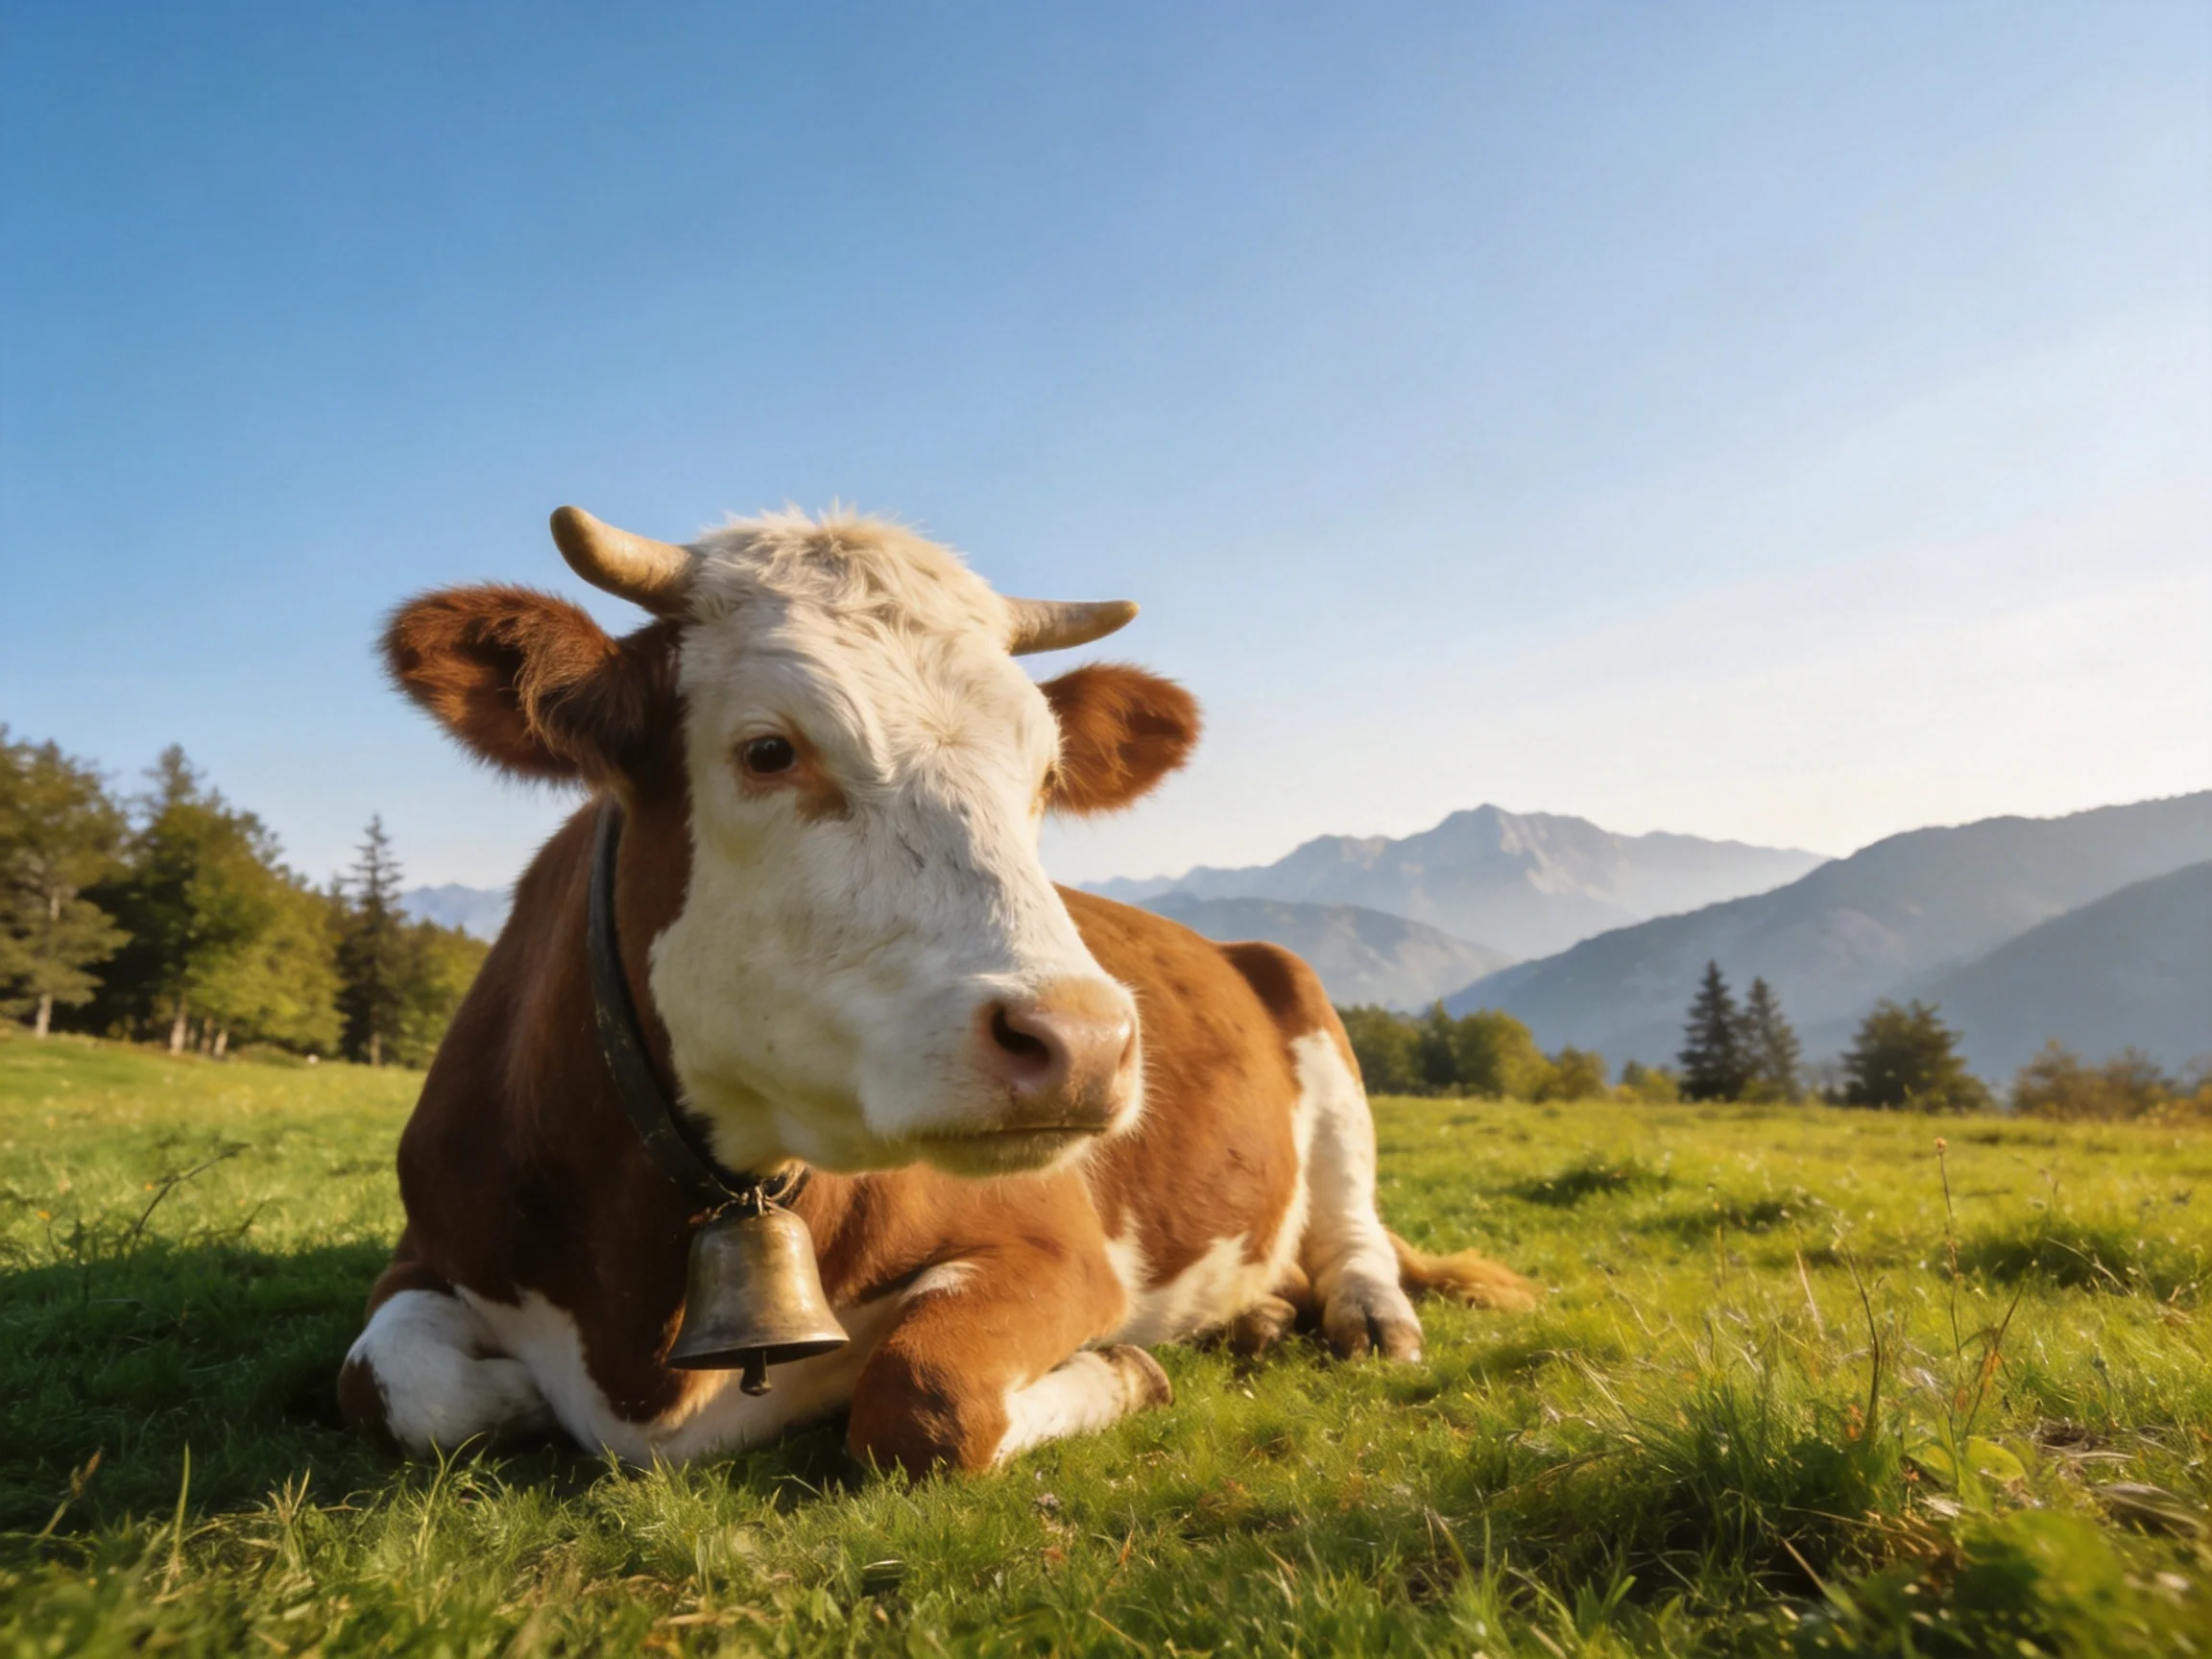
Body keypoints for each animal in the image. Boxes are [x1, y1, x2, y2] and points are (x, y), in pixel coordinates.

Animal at [339, 505, 1537, 1474]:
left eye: (1046, 777)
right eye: (768, 750)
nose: (1082, 1042)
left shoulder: (1061, 1251)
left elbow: (926, 1395)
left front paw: (1127, 1371)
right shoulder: (429, 1249)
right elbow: (400, 1388)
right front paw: (513, 1396)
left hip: (1316, 1027)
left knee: (1354, 1226)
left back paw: (1361, 1317)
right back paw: (1257, 1318)